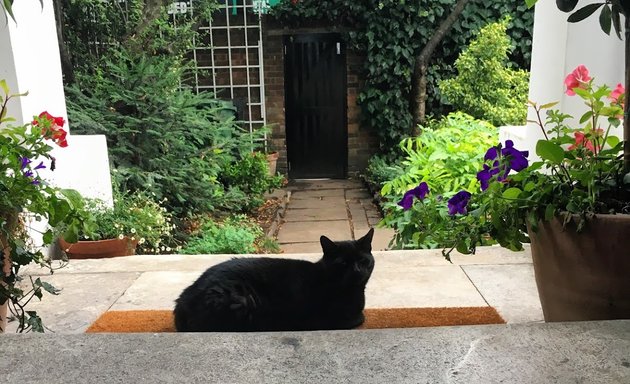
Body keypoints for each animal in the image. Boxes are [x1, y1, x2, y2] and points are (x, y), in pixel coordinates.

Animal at [173, 226, 376, 332]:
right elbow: (359, 318)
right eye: (343, 263)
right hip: (241, 300)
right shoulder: (325, 319)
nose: (357, 270)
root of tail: (182, 300)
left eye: (362, 260)